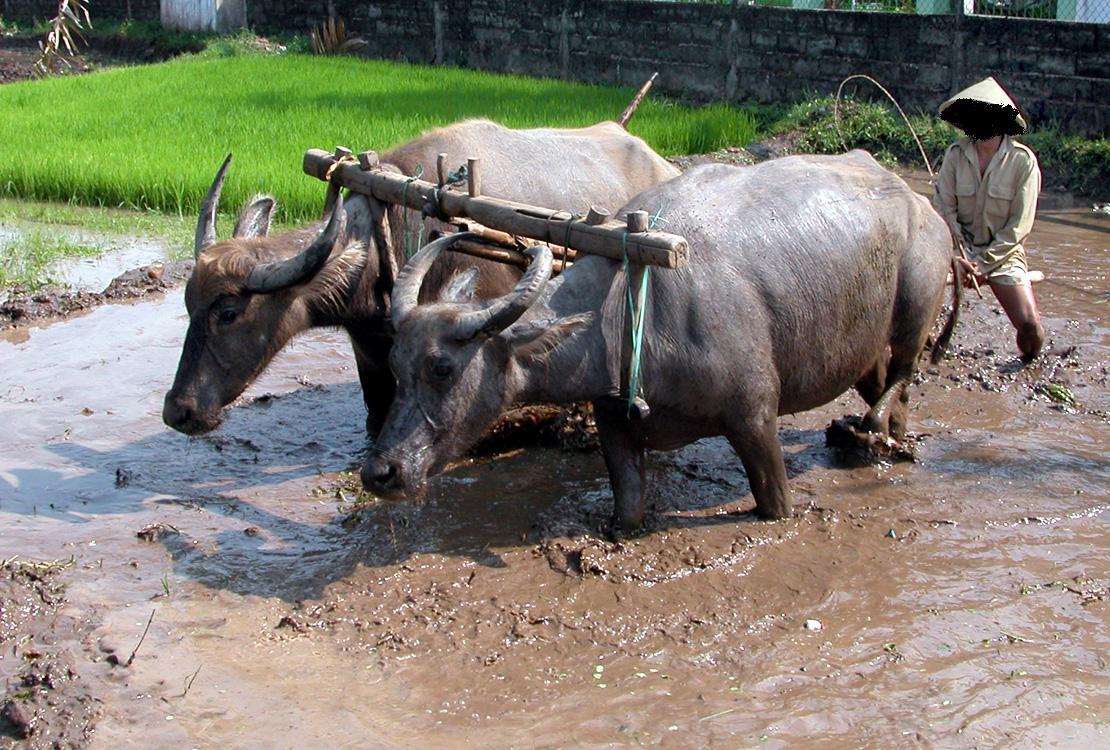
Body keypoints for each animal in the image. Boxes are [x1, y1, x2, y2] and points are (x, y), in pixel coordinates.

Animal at [359, 150, 959, 532]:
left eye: (443, 368)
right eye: (394, 364)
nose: (380, 473)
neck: (630, 307)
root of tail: (922, 205)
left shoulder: (755, 418)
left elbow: (775, 502)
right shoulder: (615, 425)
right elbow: (627, 507)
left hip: (915, 311)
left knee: (904, 371)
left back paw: (871, 431)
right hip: (863, 345)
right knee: (890, 387)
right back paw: (888, 438)